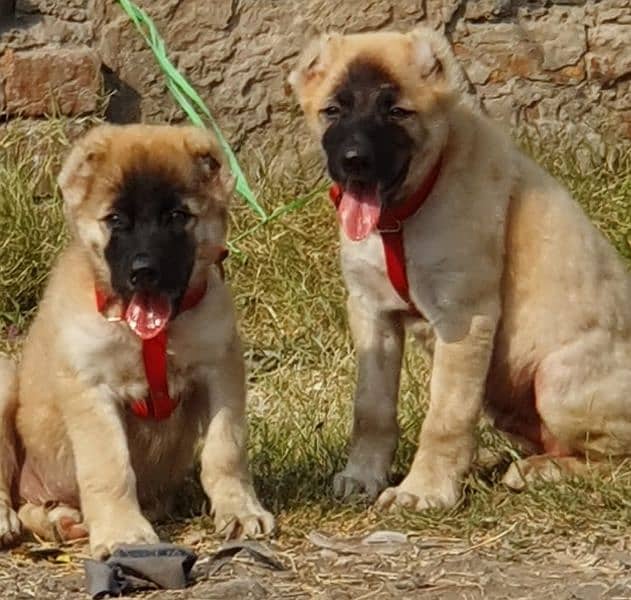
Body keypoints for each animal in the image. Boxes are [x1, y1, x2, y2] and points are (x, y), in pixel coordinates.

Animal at [0, 123, 274, 556]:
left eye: (177, 216)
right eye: (116, 220)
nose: (144, 271)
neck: (150, 335)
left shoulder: (221, 369)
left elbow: (225, 447)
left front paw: (240, 509)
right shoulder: (92, 388)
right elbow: (109, 466)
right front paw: (122, 531)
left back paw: (64, 519)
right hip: (5, 378)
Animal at [288, 27, 631, 510]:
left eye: (397, 112)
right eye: (333, 110)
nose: (355, 161)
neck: (401, 218)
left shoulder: (464, 318)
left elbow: (445, 416)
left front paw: (423, 490)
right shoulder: (371, 311)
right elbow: (371, 409)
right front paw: (364, 475)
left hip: (557, 382)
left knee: (614, 461)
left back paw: (542, 471)